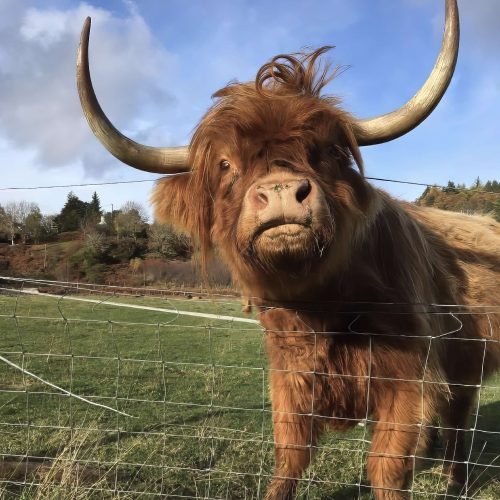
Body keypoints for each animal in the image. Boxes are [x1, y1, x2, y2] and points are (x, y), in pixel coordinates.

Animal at [76, 1, 498, 498]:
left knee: (458, 420)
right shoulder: (290, 378)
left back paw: (454, 480)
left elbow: (387, 467)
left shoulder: (407, 379)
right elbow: (289, 456)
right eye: (225, 164)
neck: (322, 311)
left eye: (328, 151)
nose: (279, 191)